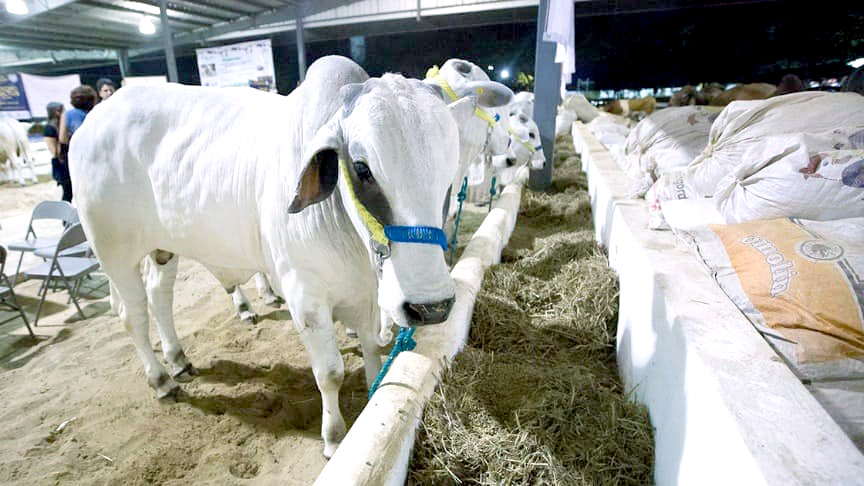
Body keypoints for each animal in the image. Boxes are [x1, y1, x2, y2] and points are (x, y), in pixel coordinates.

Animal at [70, 55, 476, 458]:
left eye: (449, 172)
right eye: (363, 169)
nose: (431, 306)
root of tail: (94, 120)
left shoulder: (364, 294)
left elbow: (372, 348)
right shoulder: (305, 297)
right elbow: (330, 373)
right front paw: (334, 437)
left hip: (163, 249)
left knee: (159, 298)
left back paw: (179, 359)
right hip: (115, 252)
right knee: (134, 315)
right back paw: (161, 379)